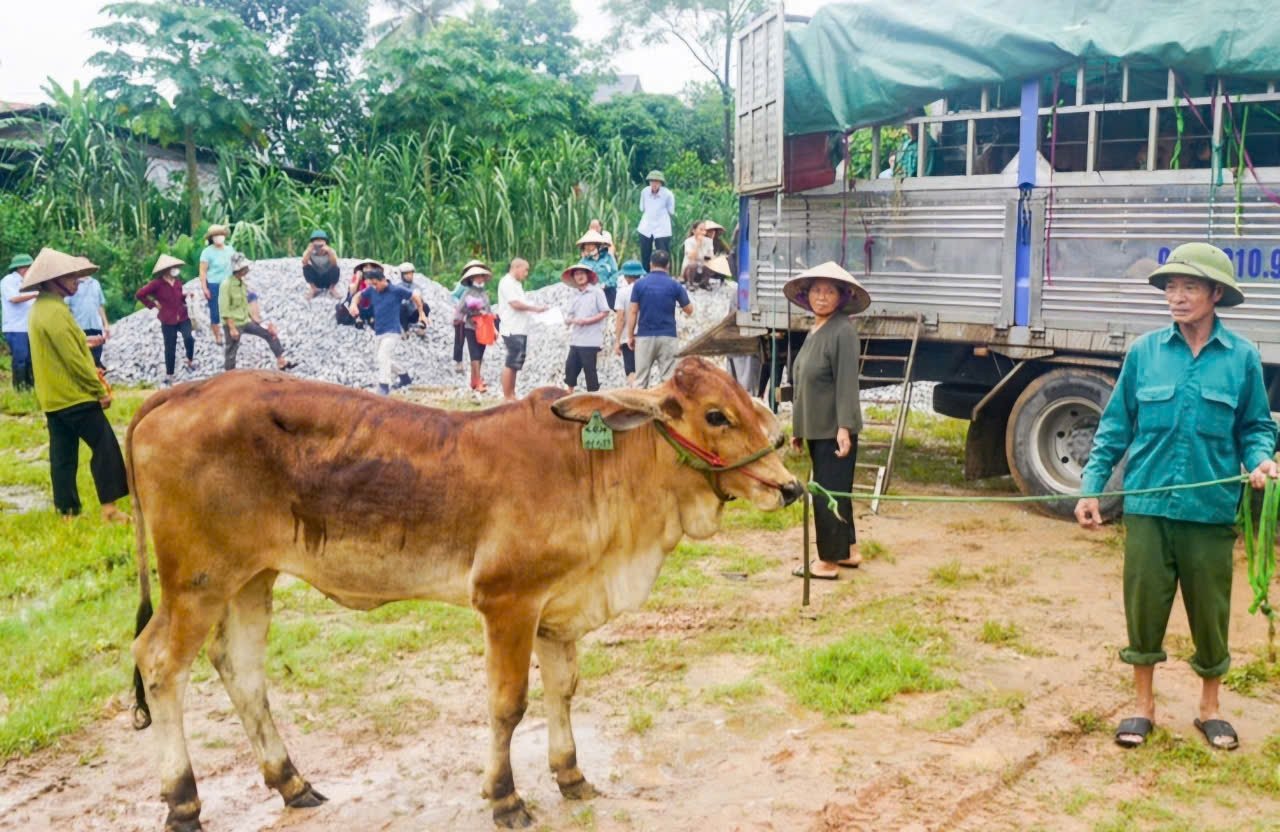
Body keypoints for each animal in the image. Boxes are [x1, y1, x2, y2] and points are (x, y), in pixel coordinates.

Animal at [129, 358, 803, 829]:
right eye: (716, 415)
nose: (791, 488)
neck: (596, 468)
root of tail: (175, 393)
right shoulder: (508, 603)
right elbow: (509, 705)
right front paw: (505, 798)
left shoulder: (557, 611)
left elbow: (563, 691)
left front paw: (570, 775)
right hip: (198, 581)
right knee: (160, 664)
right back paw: (183, 803)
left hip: (251, 578)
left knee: (240, 670)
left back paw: (292, 783)